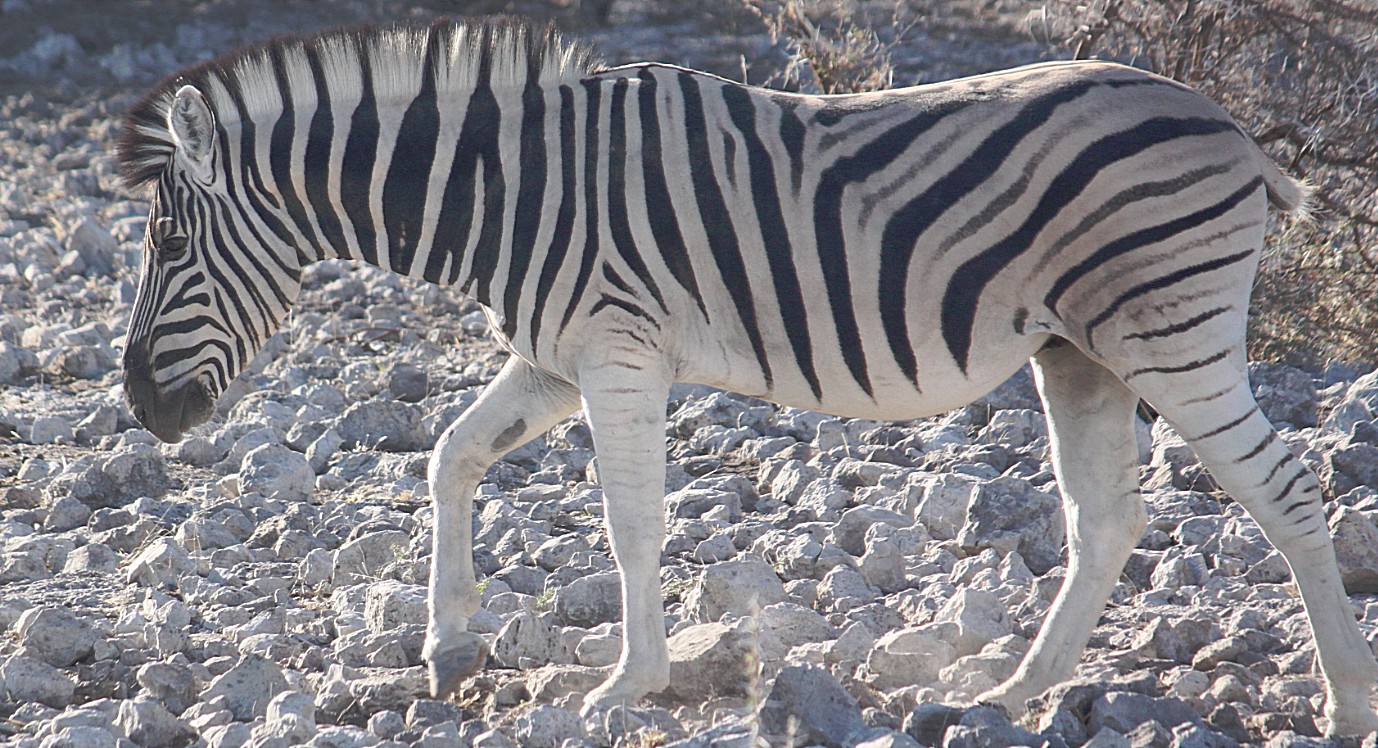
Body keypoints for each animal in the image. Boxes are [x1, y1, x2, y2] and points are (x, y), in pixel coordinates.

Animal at [118, 16, 1378, 732]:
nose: (136, 404)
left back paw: (1343, 699)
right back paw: (1010, 694)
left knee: (1287, 489)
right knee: (1105, 518)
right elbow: (448, 456)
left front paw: (625, 684)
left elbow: (629, 520)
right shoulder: (552, 358)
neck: (501, 189)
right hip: (1079, 351)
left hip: (1171, 331)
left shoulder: (618, 348)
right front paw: (447, 644)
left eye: (169, 245)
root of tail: (1229, 125)